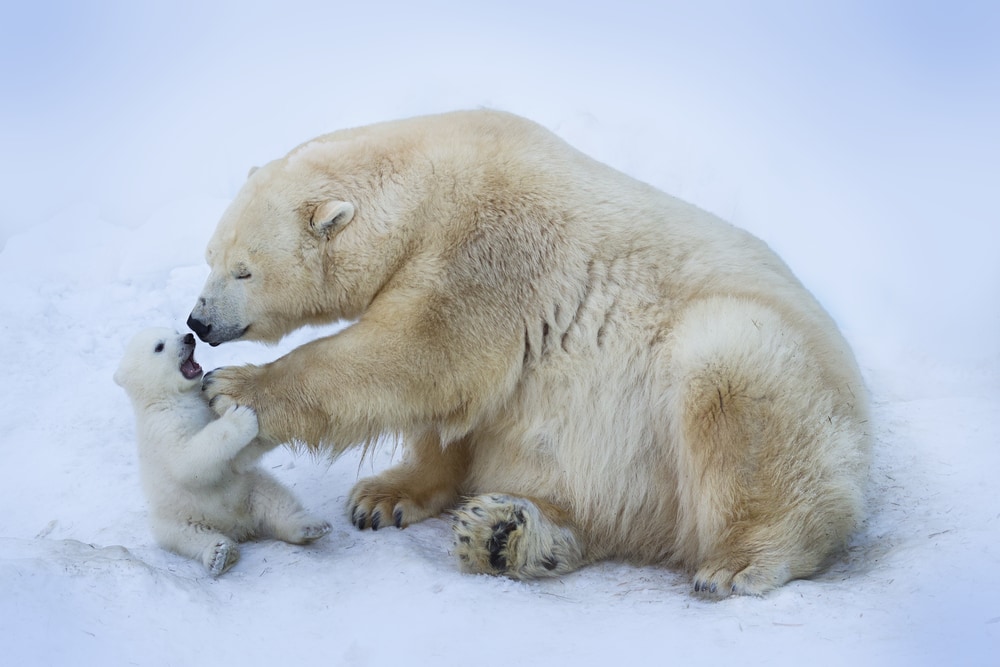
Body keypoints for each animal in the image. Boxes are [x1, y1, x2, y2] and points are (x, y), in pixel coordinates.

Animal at [114, 327, 331, 576]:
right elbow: (187, 461)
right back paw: (219, 554)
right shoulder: (164, 427)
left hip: (251, 488)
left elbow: (236, 460)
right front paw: (240, 416)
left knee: (276, 501)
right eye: (159, 346)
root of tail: (237, 525)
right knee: (186, 536)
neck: (171, 397)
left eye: (175, 331)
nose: (189, 337)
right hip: (175, 517)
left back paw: (310, 526)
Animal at [187, 109, 871, 596]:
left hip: (773, 380)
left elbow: (422, 354)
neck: (432, 183)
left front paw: (232, 389)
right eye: (210, 257)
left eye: (244, 270)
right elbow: (457, 406)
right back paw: (505, 535)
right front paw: (383, 498)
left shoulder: (493, 246)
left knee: (735, 384)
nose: (199, 321)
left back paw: (739, 561)